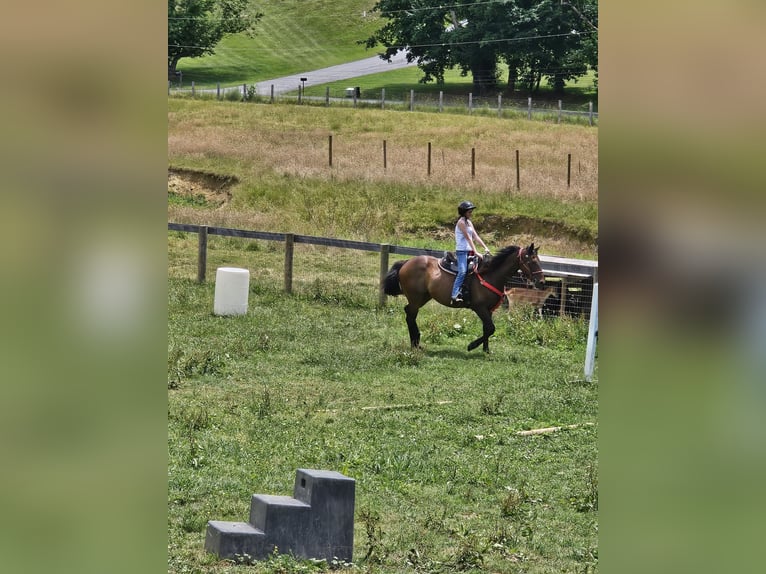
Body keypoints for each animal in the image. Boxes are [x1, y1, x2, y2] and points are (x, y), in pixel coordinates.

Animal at [384, 242, 544, 354]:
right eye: (532, 260)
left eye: (538, 260)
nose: (541, 282)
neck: (490, 275)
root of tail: (406, 262)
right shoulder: (479, 308)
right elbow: (491, 328)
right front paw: (471, 345)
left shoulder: (488, 310)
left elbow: (487, 328)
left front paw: (486, 350)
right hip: (416, 298)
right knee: (410, 316)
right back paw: (415, 344)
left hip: (423, 297)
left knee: (409, 313)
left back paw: (416, 343)